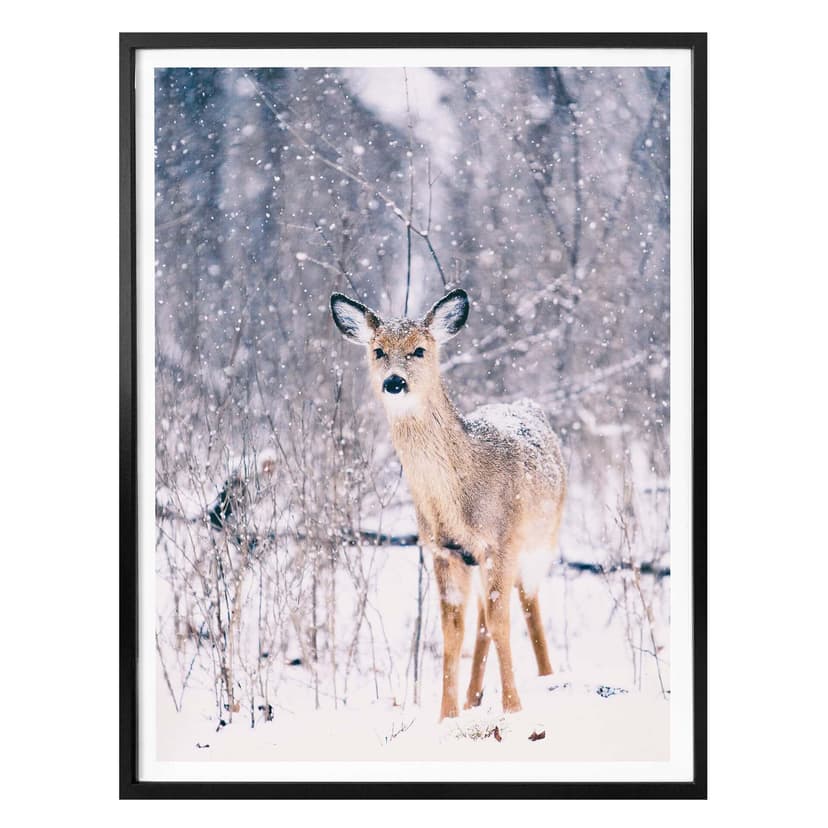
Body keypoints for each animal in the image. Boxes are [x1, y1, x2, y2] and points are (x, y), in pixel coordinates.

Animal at [330, 288, 566, 720]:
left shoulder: (501, 541)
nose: (394, 382)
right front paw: (447, 716)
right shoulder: (444, 550)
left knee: (528, 602)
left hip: (542, 537)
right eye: (378, 350)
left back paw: (546, 678)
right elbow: (453, 631)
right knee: (483, 619)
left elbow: (502, 621)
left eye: (419, 350)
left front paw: (513, 708)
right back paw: (474, 697)